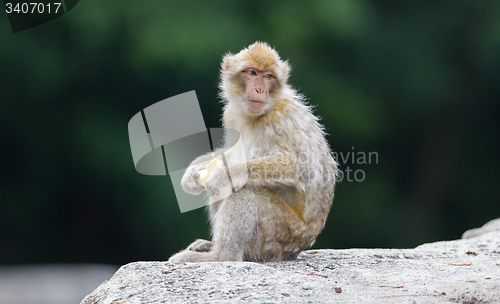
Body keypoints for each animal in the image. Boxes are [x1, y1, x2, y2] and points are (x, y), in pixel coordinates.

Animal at [169, 41, 340, 262]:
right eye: (252, 72)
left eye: (268, 76)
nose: (259, 89)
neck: (256, 116)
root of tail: (298, 249)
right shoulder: (231, 114)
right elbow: (231, 152)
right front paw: (193, 171)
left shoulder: (282, 118)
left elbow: (304, 167)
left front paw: (225, 174)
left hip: (281, 235)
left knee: (247, 191)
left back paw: (220, 256)